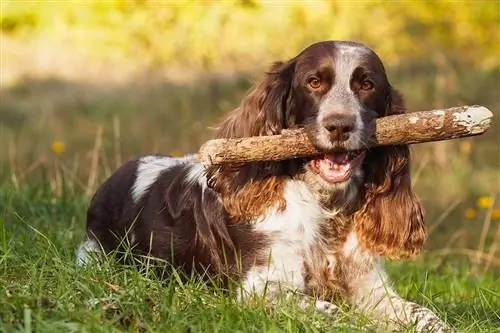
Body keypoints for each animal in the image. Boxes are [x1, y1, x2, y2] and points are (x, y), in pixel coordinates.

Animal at [77, 40, 458, 330]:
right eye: (314, 82)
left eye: (367, 84)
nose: (339, 125)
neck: (325, 209)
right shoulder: (259, 286)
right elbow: (331, 314)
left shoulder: (370, 288)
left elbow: (425, 315)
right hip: (97, 256)